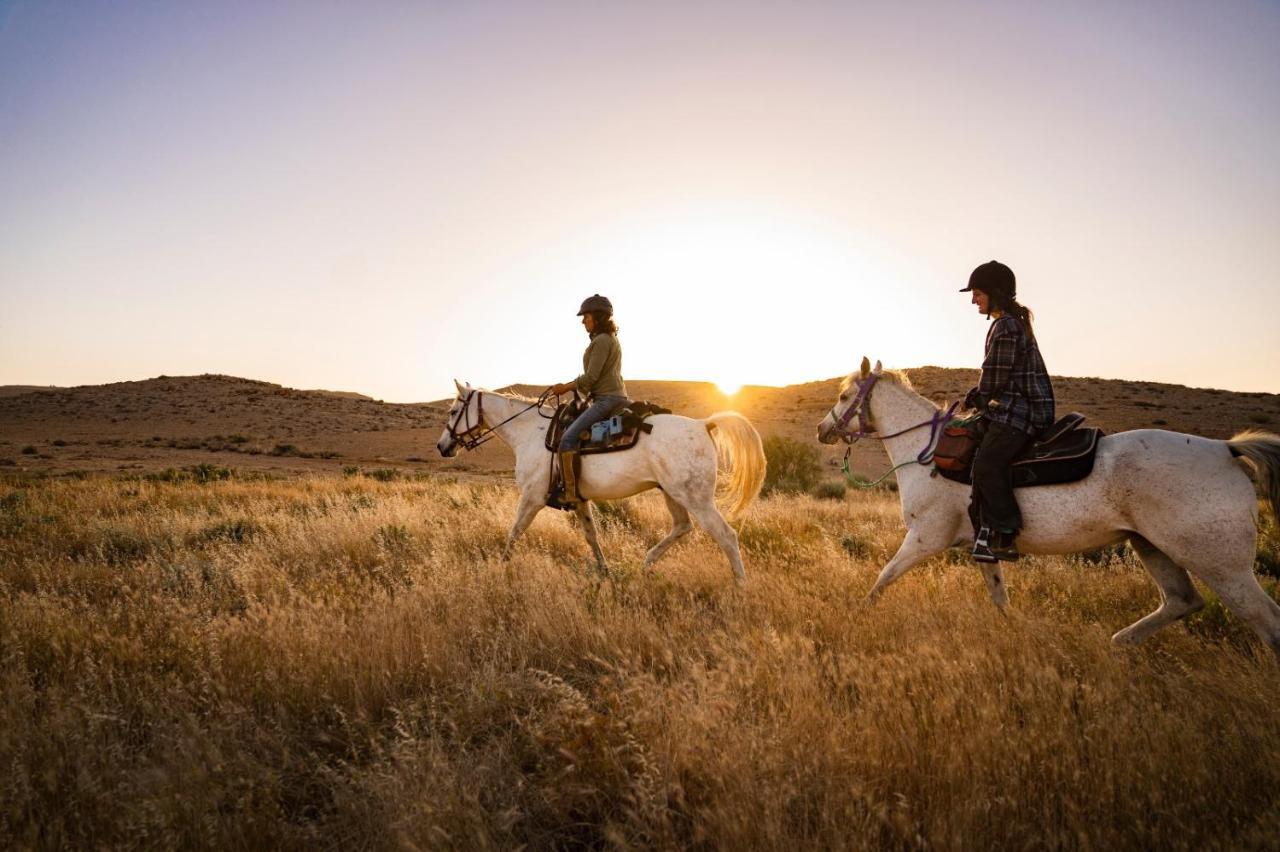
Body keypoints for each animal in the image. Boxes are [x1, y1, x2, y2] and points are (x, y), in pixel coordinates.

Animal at [435, 381, 762, 580]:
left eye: (453, 411)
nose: (442, 446)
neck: (530, 433)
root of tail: (703, 424)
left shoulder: (532, 497)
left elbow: (514, 532)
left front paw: (501, 569)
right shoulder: (579, 500)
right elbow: (592, 537)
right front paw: (605, 572)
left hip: (697, 498)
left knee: (726, 536)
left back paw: (740, 586)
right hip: (673, 493)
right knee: (682, 527)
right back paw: (646, 563)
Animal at [819, 355, 1280, 652]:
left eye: (843, 397)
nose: (823, 429)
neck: (928, 450)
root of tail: (1225, 450)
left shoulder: (924, 538)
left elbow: (882, 579)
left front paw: (855, 618)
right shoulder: (982, 549)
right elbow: (1000, 597)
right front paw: (1017, 634)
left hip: (1220, 564)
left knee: (1265, 621)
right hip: (1151, 545)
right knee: (1182, 601)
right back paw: (1118, 644)